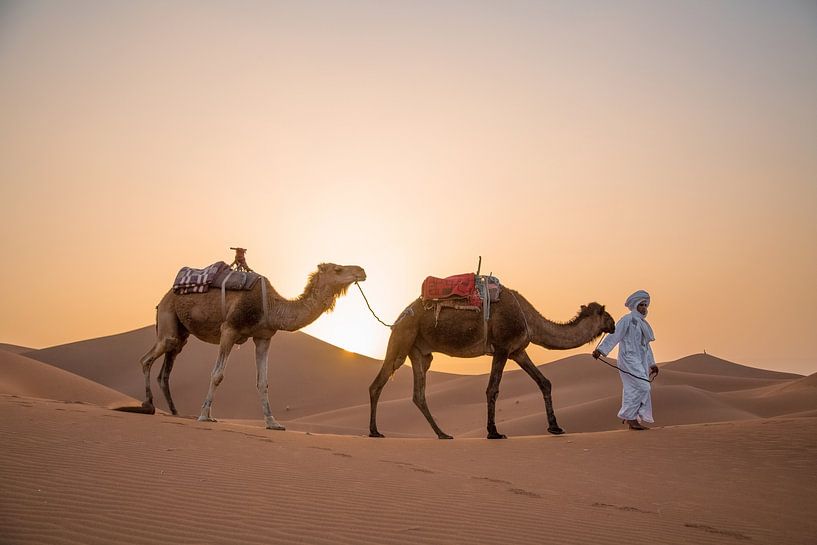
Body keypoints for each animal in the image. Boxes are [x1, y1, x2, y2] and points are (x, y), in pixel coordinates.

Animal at [139, 262, 364, 428]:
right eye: (338, 269)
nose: (362, 271)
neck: (271, 308)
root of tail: (164, 297)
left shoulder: (263, 337)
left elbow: (263, 381)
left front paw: (272, 422)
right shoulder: (229, 330)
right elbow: (217, 375)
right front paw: (204, 415)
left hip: (181, 333)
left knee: (166, 367)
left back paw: (174, 412)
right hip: (168, 316)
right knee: (147, 358)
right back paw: (148, 404)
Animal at [368, 288, 612, 438]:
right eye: (605, 314)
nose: (613, 325)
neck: (529, 319)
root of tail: (399, 317)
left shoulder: (517, 351)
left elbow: (544, 382)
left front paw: (555, 427)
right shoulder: (502, 348)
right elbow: (492, 389)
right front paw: (494, 432)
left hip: (420, 352)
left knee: (418, 394)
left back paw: (442, 434)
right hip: (403, 337)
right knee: (377, 383)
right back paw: (374, 432)